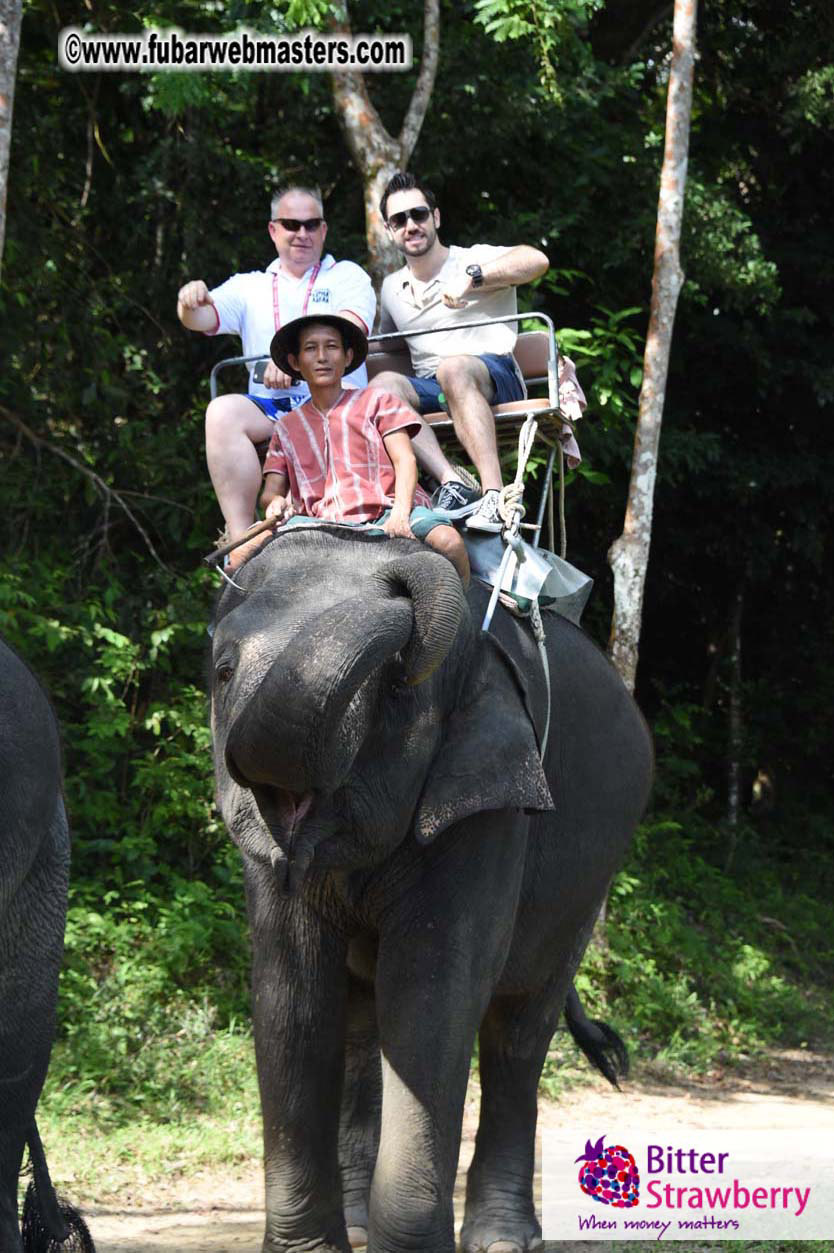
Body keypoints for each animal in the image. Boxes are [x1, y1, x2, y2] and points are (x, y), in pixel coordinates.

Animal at [210, 524, 653, 1253]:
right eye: (223, 672)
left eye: (395, 688)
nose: (397, 559)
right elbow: (291, 992)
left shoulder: (487, 803)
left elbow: (431, 992)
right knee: (363, 1023)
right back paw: (360, 1221)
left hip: (590, 882)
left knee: (518, 1033)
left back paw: (502, 1237)